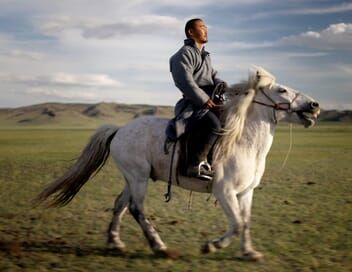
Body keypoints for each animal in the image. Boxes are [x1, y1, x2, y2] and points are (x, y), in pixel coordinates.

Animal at [35, 66, 320, 262]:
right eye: (282, 90)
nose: (315, 105)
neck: (242, 141)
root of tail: (119, 130)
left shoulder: (245, 192)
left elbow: (245, 222)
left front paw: (250, 253)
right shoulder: (224, 191)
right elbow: (237, 223)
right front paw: (211, 246)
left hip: (133, 178)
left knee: (120, 205)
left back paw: (115, 243)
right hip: (138, 178)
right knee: (136, 209)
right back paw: (159, 247)